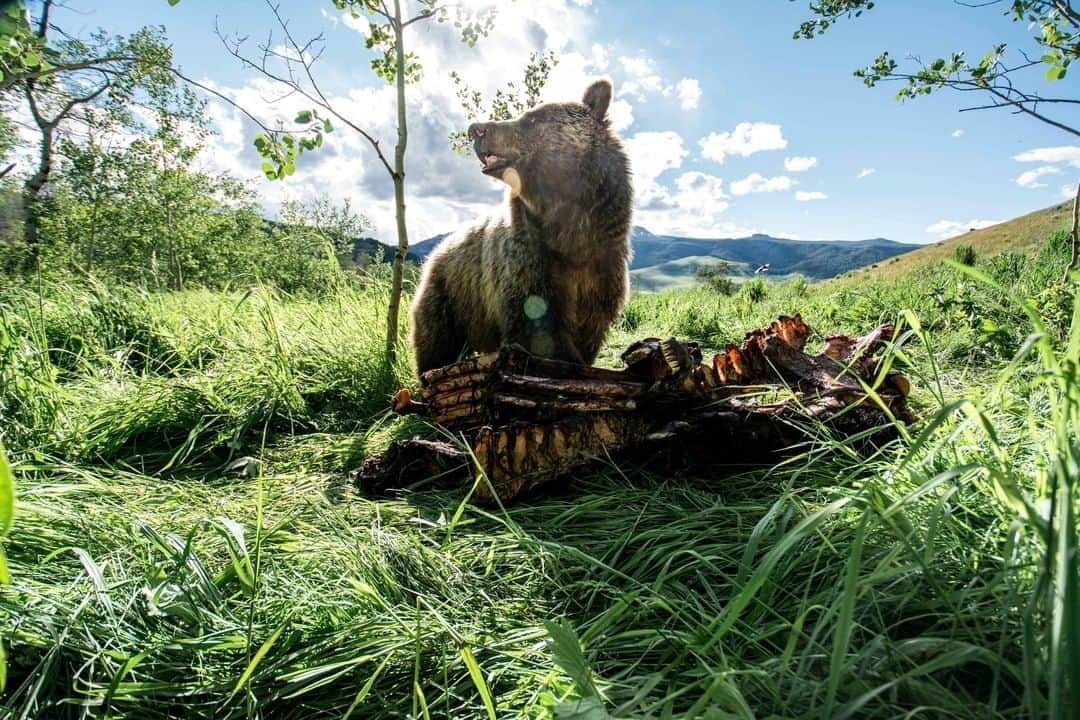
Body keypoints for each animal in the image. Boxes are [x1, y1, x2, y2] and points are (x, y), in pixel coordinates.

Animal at [406, 80, 630, 375]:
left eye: (531, 118)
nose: (475, 129)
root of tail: (438, 249)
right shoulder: (527, 258)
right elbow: (539, 326)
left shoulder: (602, 263)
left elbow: (589, 329)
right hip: (451, 294)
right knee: (436, 345)